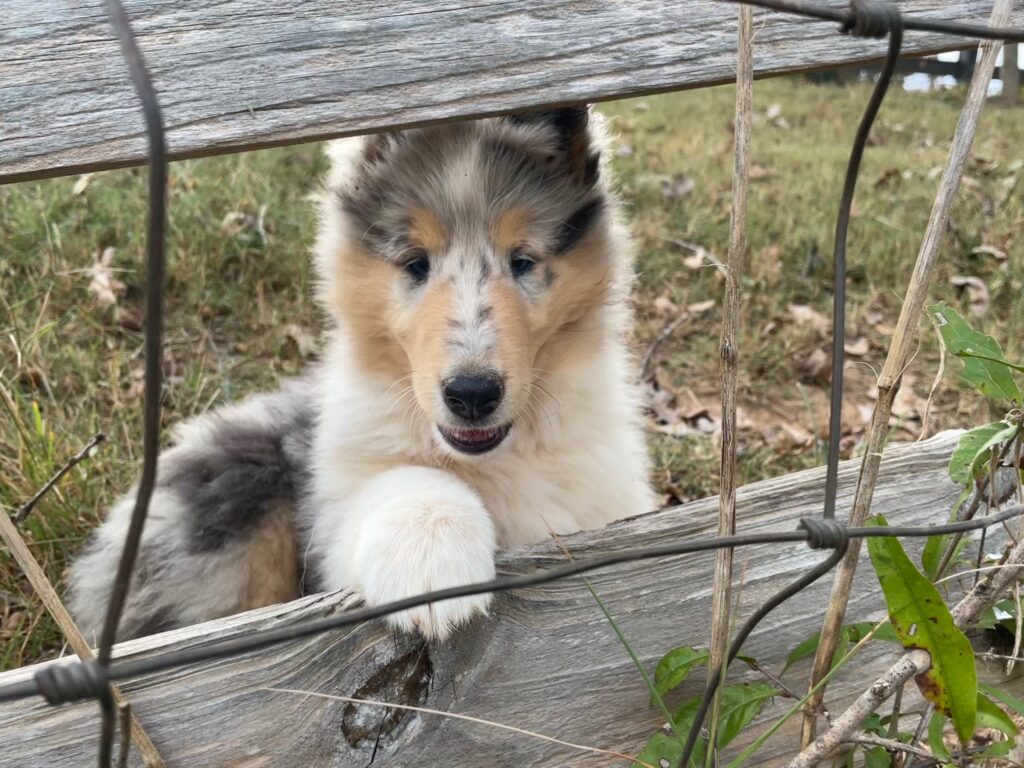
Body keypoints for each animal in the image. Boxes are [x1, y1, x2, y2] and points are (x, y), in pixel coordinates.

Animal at [68, 107, 651, 643]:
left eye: (523, 261)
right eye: (416, 263)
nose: (471, 394)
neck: (496, 459)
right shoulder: (337, 505)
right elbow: (403, 481)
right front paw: (431, 555)